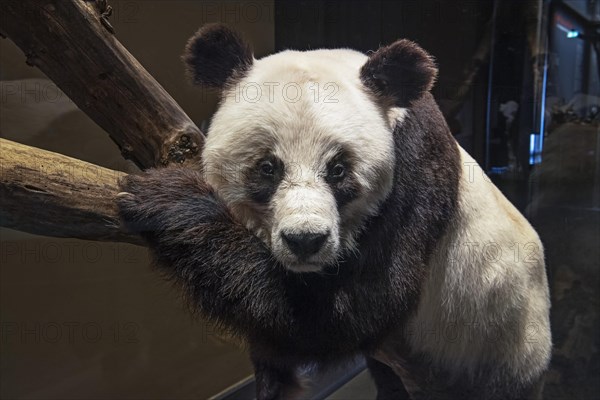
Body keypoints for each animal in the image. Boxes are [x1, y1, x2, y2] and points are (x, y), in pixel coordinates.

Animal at [118, 23, 552, 398]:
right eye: (268, 168)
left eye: (338, 170)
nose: (305, 241)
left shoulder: (417, 165)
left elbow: (347, 311)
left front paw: (169, 199)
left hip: (497, 347)